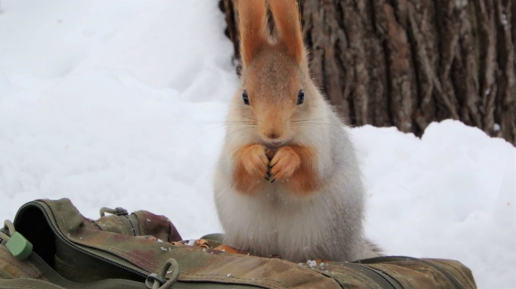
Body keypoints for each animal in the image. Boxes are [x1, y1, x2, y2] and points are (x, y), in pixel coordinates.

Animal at [213, 0, 378, 260]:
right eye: (244, 96)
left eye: (301, 95)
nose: (273, 132)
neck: (274, 146)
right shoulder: (234, 140)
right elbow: (237, 172)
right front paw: (254, 158)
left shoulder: (323, 145)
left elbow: (312, 171)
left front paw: (288, 159)